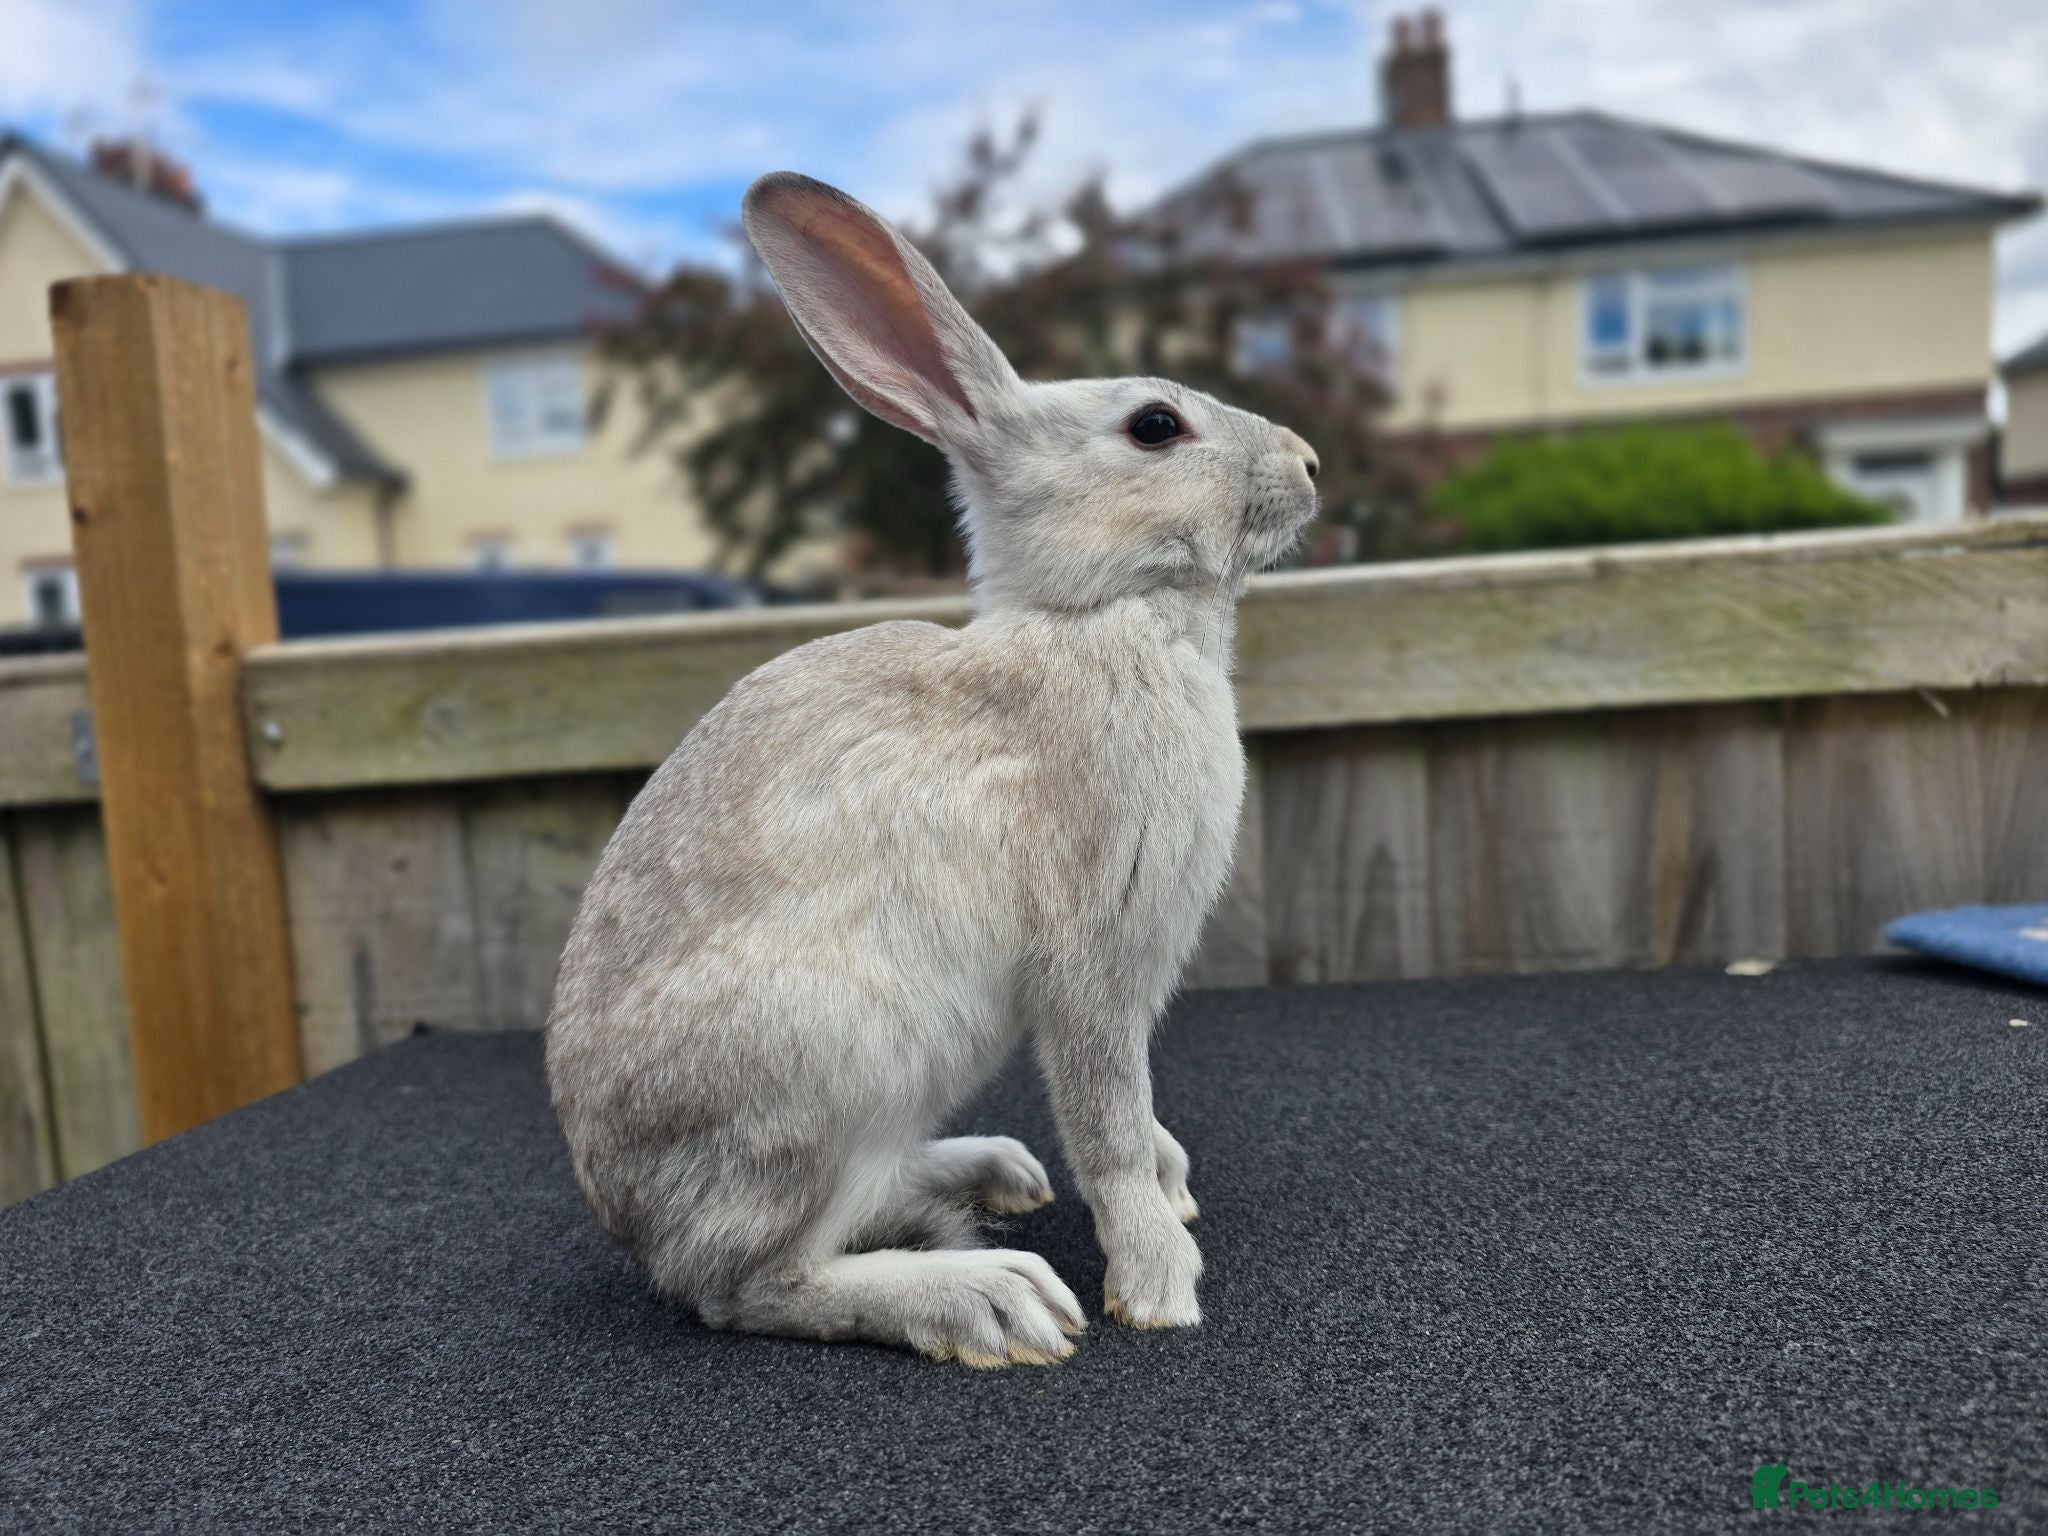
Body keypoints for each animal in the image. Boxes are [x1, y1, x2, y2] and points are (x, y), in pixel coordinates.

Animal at [545, 171, 1319, 1368]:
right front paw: (1157, 1282)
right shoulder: (1092, 959)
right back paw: (988, 1298)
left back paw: (991, 1173)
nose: (1309, 463)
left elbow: (1136, 1124)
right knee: (749, 1285)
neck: (1099, 614)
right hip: (821, 1079)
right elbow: (1107, 1121)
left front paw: (1174, 1183)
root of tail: (630, 1221)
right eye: (1154, 425)